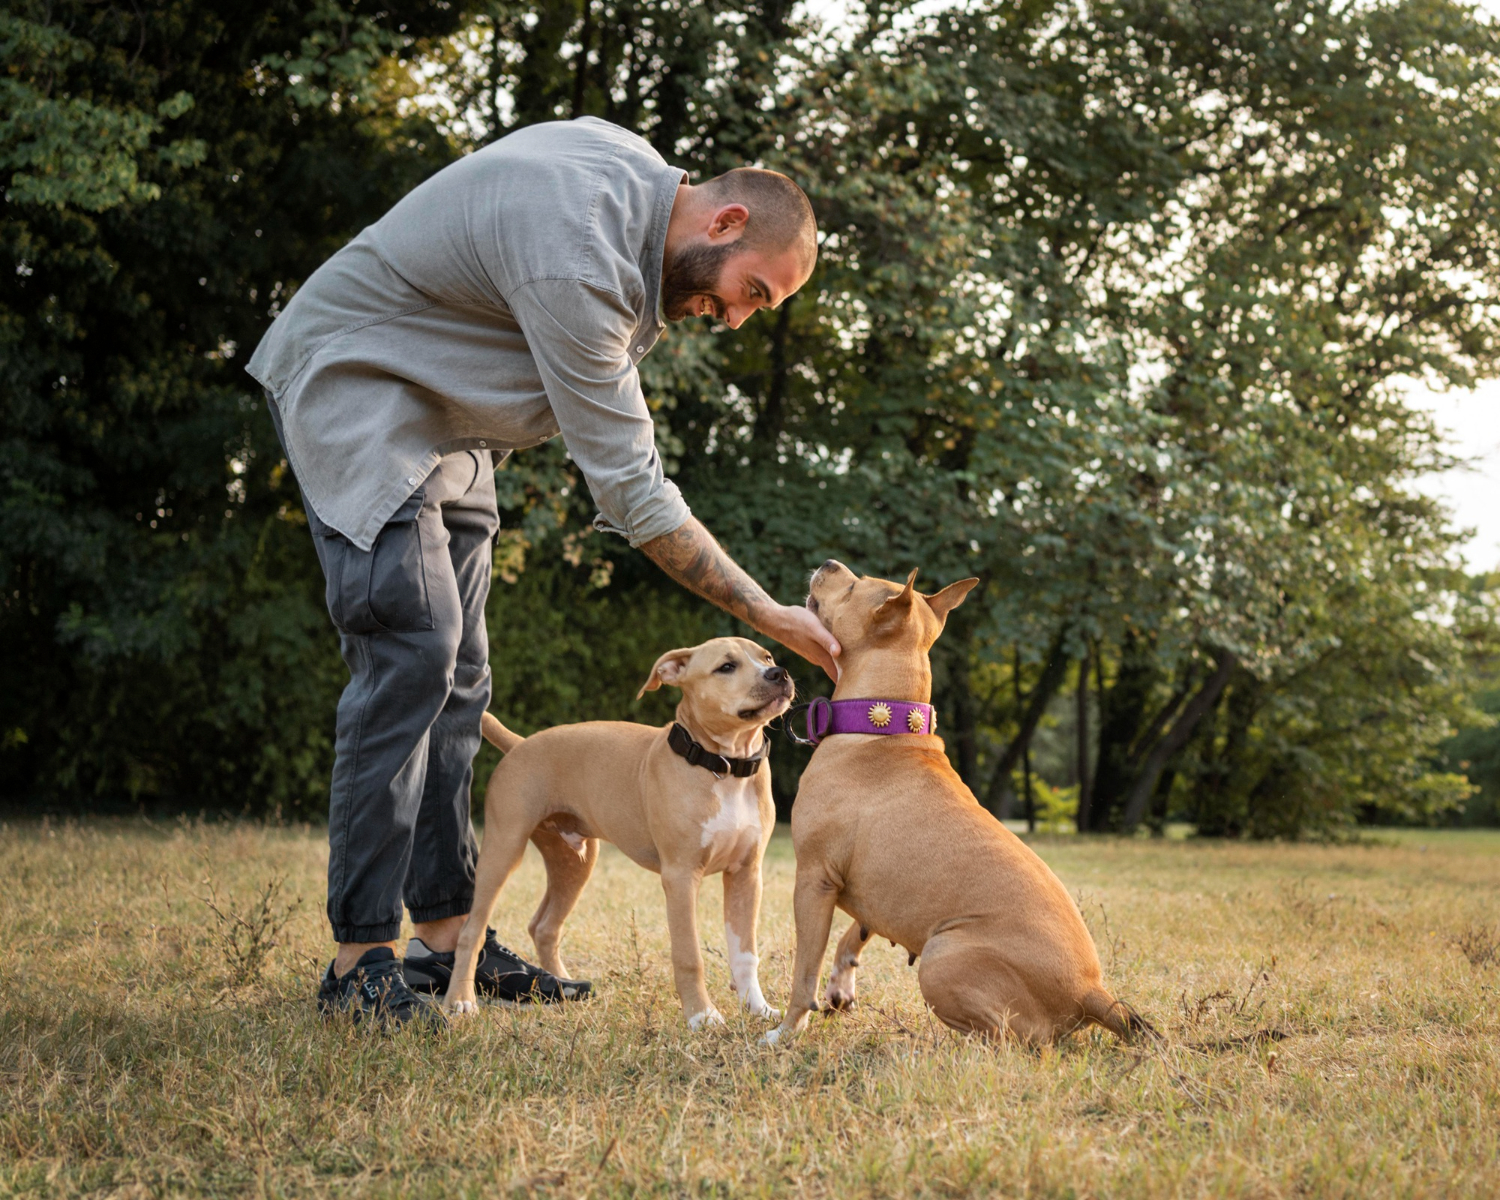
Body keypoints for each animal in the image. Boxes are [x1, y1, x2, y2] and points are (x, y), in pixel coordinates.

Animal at [444, 642, 798, 1026]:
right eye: (726, 667)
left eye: (767, 657)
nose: (779, 673)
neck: (725, 767)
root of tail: (521, 744)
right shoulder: (681, 876)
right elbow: (689, 955)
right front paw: (701, 1016)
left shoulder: (746, 874)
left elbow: (746, 953)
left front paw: (758, 1008)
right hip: (503, 849)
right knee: (471, 930)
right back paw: (461, 1000)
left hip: (574, 859)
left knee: (544, 926)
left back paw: (564, 986)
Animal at [768, 561, 1152, 1038]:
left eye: (855, 587)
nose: (829, 564)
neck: (882, 724)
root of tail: (1091, 992)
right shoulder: (877, 891)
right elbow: (854, 933)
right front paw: (840, 984)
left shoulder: (814, 879)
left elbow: (804, 971)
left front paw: (786, 1032)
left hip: (940, 958)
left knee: (1009, 1039)